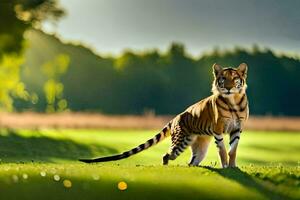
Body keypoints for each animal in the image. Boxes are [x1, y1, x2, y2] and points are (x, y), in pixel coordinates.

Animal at [79, 63, 248, 168]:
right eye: (223, 79)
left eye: (235, 78)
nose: (228, 88)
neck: (233, 101)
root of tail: (175, 118)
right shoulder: (218, 128)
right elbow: (222, 150)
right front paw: (225, 166)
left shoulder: (237, 128)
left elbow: (233, 150)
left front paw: (232, 167)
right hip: (180, 142)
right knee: (166, 155)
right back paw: (165, 168)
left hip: (200, 144)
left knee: (192, 161)